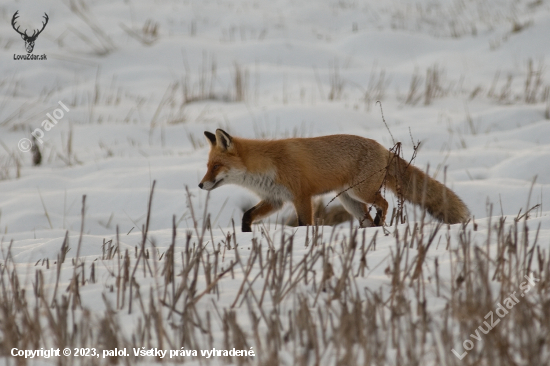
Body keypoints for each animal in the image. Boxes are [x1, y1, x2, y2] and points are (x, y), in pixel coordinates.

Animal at [198, 129, 470, 232]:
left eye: (216, 166)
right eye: (208, 166)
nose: (200, 185)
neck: (267, 165)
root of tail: (382, 148)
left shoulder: (301, 196)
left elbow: (304, 224)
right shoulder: (275, 199)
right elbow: (247, 216)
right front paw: (246, 233)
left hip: (361, 193)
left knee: (385, 204)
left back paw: (381, 221)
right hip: (352, 202)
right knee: (368, 219)